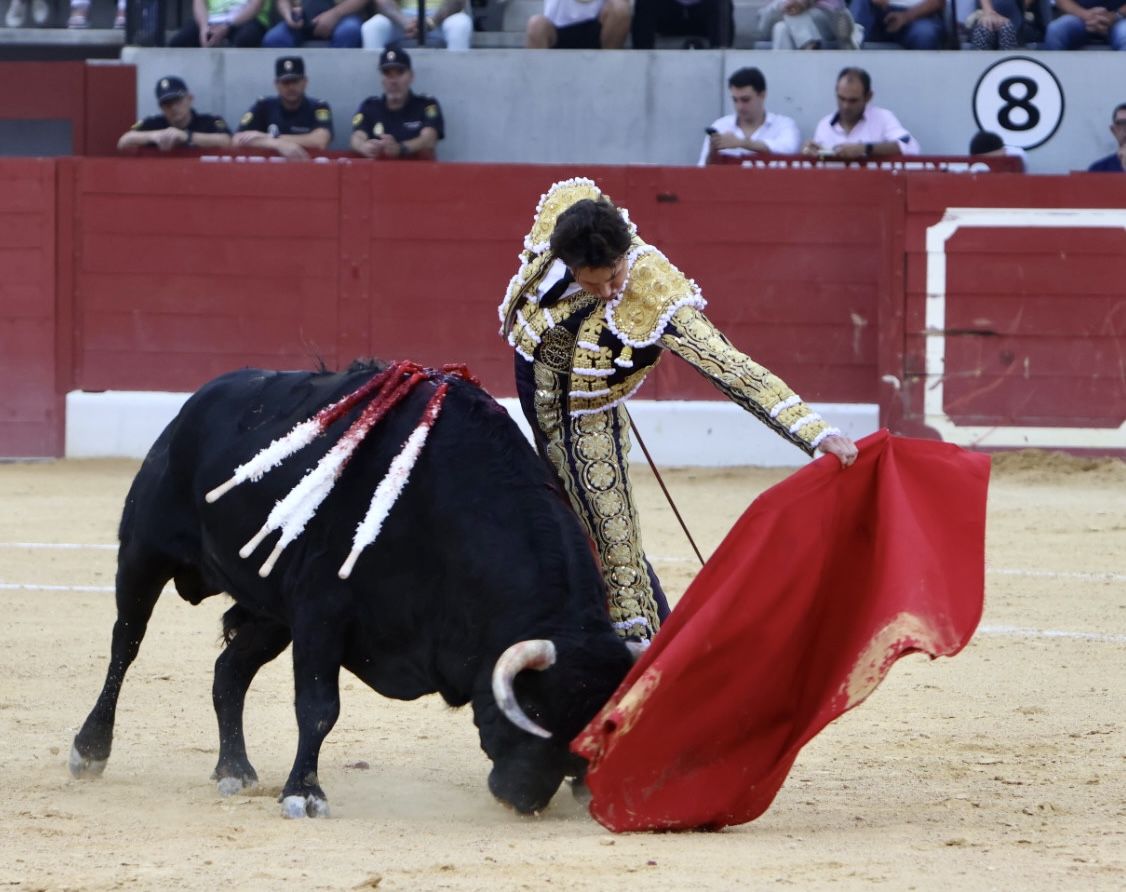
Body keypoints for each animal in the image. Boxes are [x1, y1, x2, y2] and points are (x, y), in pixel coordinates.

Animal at [70, 362, 635, 815]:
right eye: (533, 711)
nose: (525, 799)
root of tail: (199, 401)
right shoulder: (321, 613)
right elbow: (319, 708)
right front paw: (303, 794)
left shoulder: (305, 615)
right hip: (143, 555)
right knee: (125, 645)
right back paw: (90, 750)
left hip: (271, 615)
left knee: (229, 671)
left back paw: (234, 770)